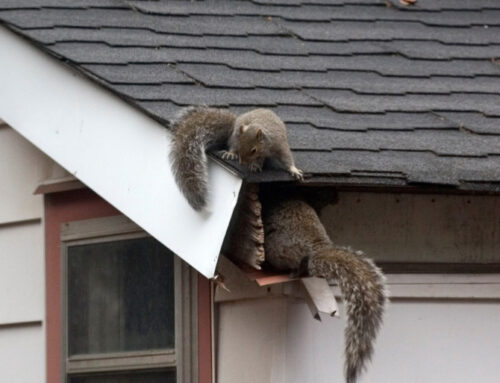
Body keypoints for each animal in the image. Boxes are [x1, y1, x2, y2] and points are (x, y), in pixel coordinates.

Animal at [170, 106, 302, 212]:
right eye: (240, 146)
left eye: (253, 150)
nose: (242, 162)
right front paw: (236, 155)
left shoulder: (279, 144)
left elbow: (286, 157)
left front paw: (294, 169)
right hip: (235, 134)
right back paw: (232, 154)